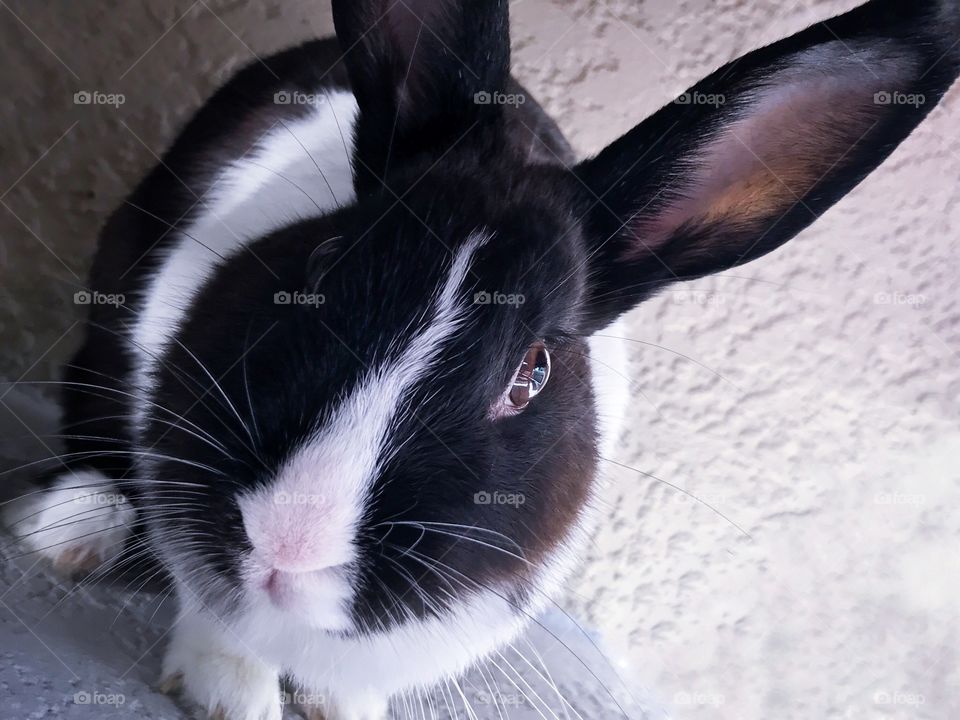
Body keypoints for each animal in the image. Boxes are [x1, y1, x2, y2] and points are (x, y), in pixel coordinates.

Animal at [4, 0, 959, 718]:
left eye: (532, 373)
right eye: (323, 265)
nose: (289, 539)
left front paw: (343, 710)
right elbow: (218, 619)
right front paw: (227, 698)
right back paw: (71, 528)